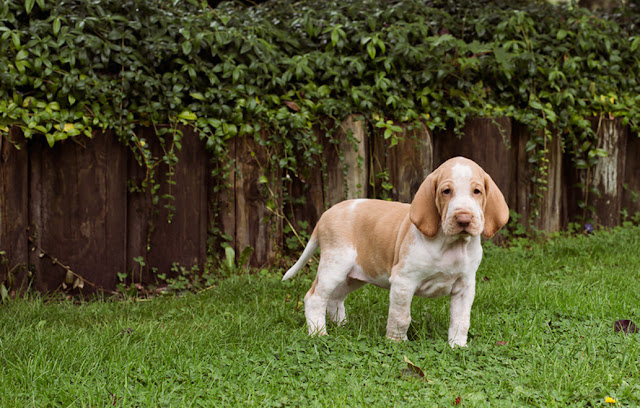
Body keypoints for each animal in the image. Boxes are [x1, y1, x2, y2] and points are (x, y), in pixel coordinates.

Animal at [282, 156, 508, 348]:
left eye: (477, 191)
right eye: (446, 191)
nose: (463, 219)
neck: (450, 245)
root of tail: (325, 215)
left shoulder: (464, 287)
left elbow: (461, 320)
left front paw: (458, 346)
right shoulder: (403, 281)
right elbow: (401, 317)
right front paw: (396, 342)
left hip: (353, 275)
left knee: (335, 298)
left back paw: (342, 326)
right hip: (334, 266)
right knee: (314, 298)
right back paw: (318, 333)